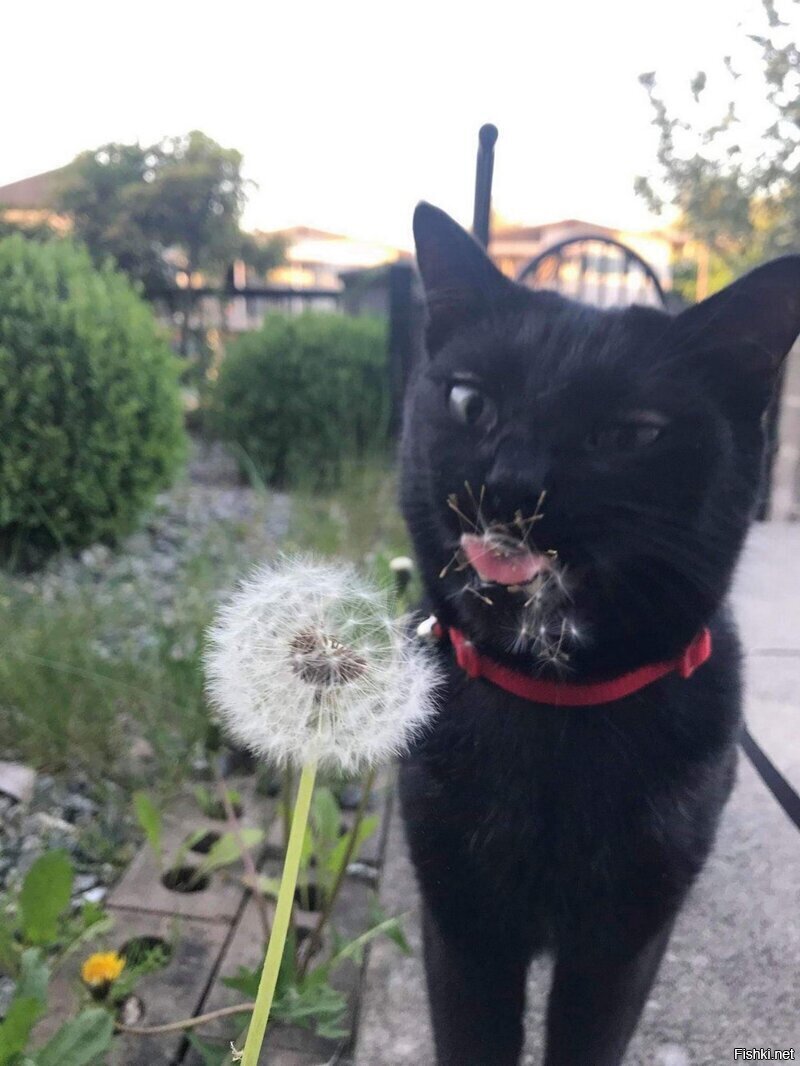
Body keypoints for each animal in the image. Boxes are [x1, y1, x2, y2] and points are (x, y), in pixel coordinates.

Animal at [401, 205, 800, 1066]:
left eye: (628, 435)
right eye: (470, 403)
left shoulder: (621, 946)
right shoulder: (460, 926)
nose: (512, 485)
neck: (556, 707)